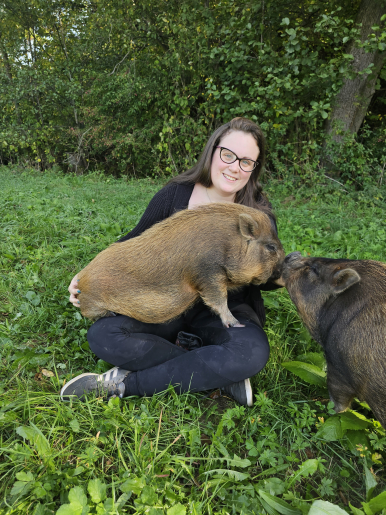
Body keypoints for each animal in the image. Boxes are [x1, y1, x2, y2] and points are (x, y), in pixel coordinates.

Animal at [77, 203, 284, 326]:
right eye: (271, 247)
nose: (284, 265)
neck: (229, 244)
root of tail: (81, 278)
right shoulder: (208, 273)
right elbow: (218, 300)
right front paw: (237, 324)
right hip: (92, 304)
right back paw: (111, 315)